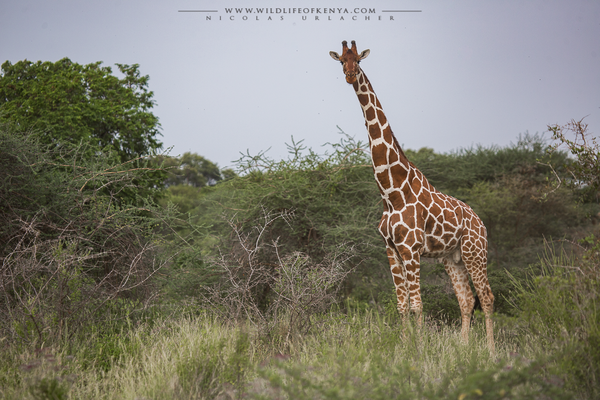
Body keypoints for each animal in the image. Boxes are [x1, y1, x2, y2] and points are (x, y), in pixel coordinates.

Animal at [330, 40, 494, 352]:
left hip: (474, 251)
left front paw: (418, 348)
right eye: (340, 61)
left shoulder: (411, 248)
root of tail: (481, 222)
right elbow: (402, 304)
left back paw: (492, 352)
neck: (391, 191)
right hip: (451, 258)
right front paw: (405, 346)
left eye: (359, 59)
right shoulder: (391, 249)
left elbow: (418, 304)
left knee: (487, 297)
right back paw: (464, 347)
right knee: (467, 299)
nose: (350, 75)